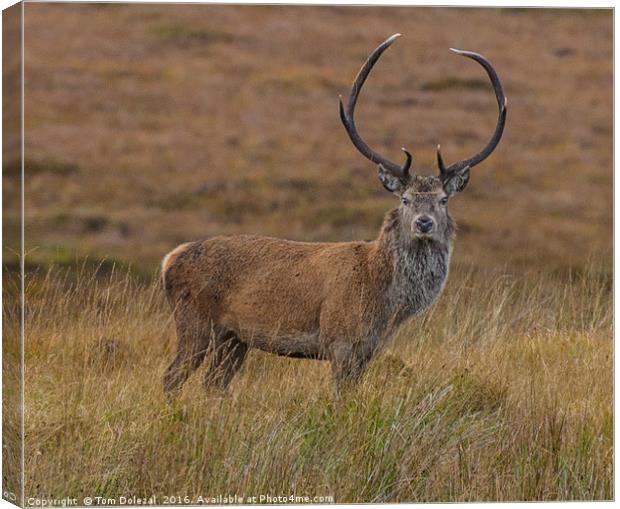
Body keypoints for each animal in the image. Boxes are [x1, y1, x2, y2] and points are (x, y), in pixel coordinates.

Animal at [162, 33, 506, 396]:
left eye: (443, 200)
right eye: (405, 199)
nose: (423, 222)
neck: (385, 300)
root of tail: (170, 259)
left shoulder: (368, 351)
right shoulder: (341, 341)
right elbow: (339, 399)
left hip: (235, 338)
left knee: (214, 385)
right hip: (194, 322)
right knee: (172, 376)